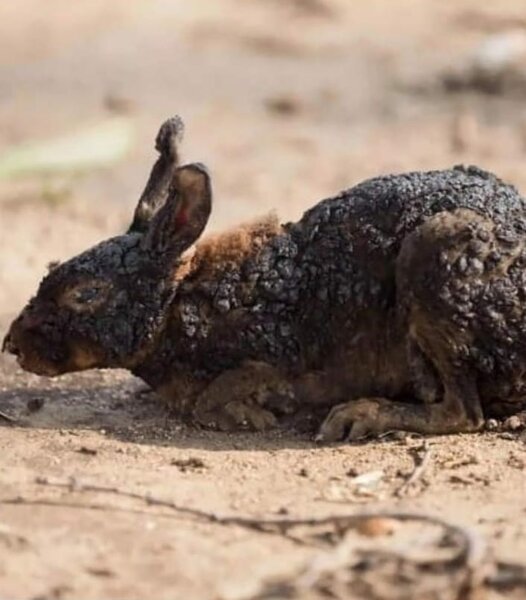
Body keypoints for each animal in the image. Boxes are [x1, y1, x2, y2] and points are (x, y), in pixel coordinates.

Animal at [3, 118, 526, 440]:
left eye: (85, 294)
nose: (12, 344)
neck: (180, 303)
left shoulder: (273, 359)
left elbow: (217, 396)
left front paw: (249, 413)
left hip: (435, 253)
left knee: (463, 413)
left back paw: (362, 415)